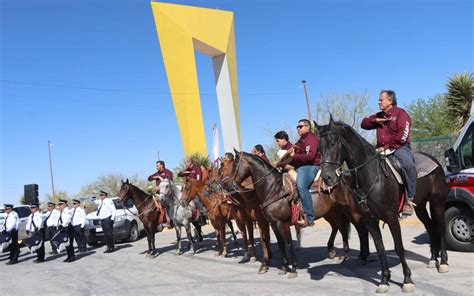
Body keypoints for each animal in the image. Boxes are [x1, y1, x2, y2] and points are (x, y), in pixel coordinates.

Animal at [316, 118, 446, 294]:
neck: (372, 176)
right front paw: (384, 280)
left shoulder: (391, 218)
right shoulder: (370, 220)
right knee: (431, 227)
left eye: (333, 143)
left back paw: (443, 263)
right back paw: (433, 260)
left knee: (440, 227)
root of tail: (435, 162)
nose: (327, 178)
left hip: (437, 203)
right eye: (319, 147)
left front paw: (407, 280)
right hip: (420, 207)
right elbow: (380, 248)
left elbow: (399, 248)